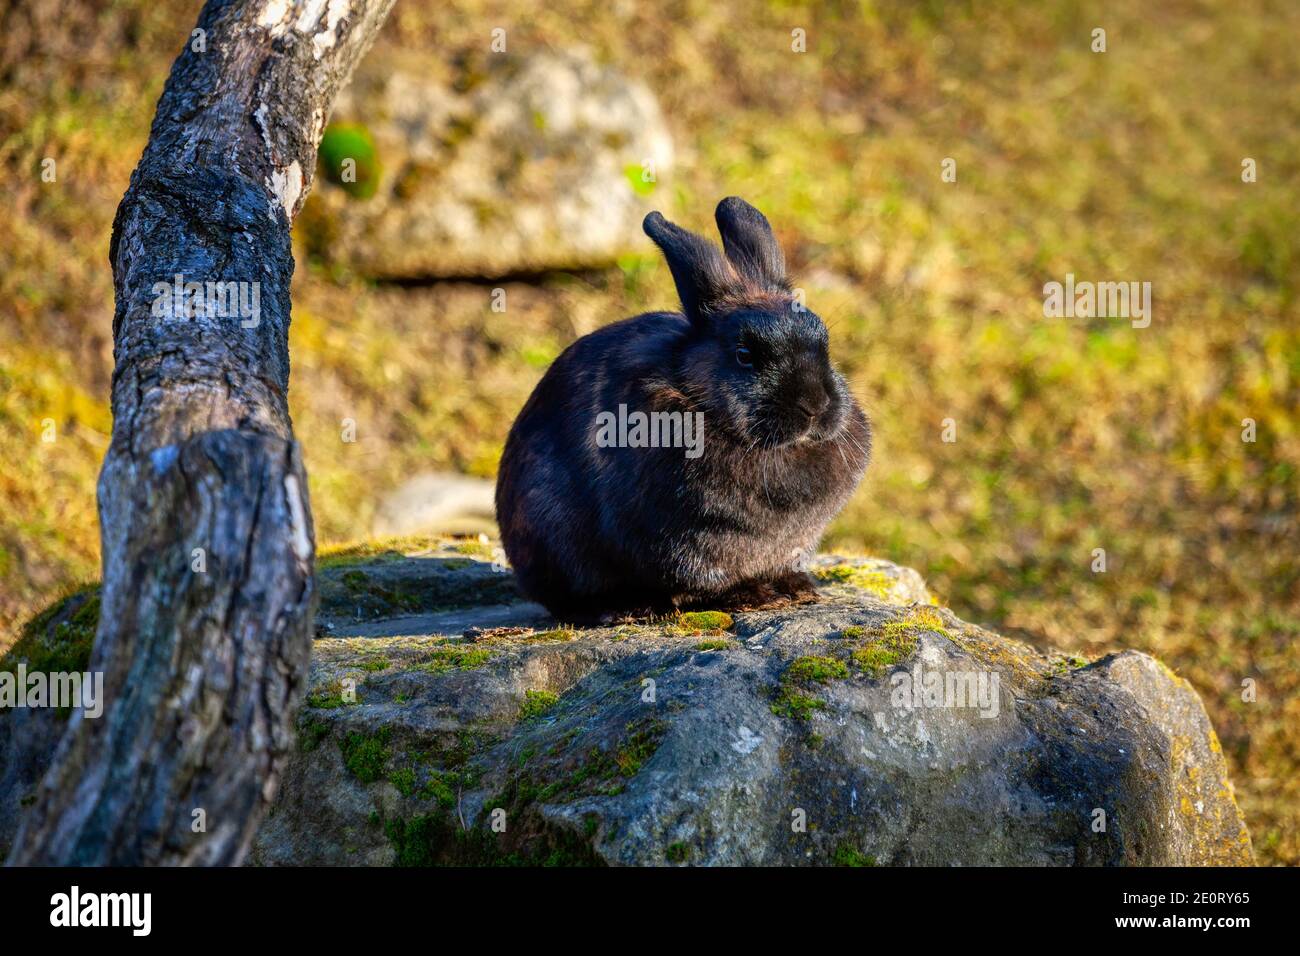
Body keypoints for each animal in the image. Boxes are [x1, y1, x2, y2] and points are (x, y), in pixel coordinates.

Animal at [495, 196, 871, 623]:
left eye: (824, 344)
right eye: (744, 355)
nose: (814, 405)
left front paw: (796, 587)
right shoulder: (685, 539)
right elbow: (704, 578)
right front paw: (754, 594)